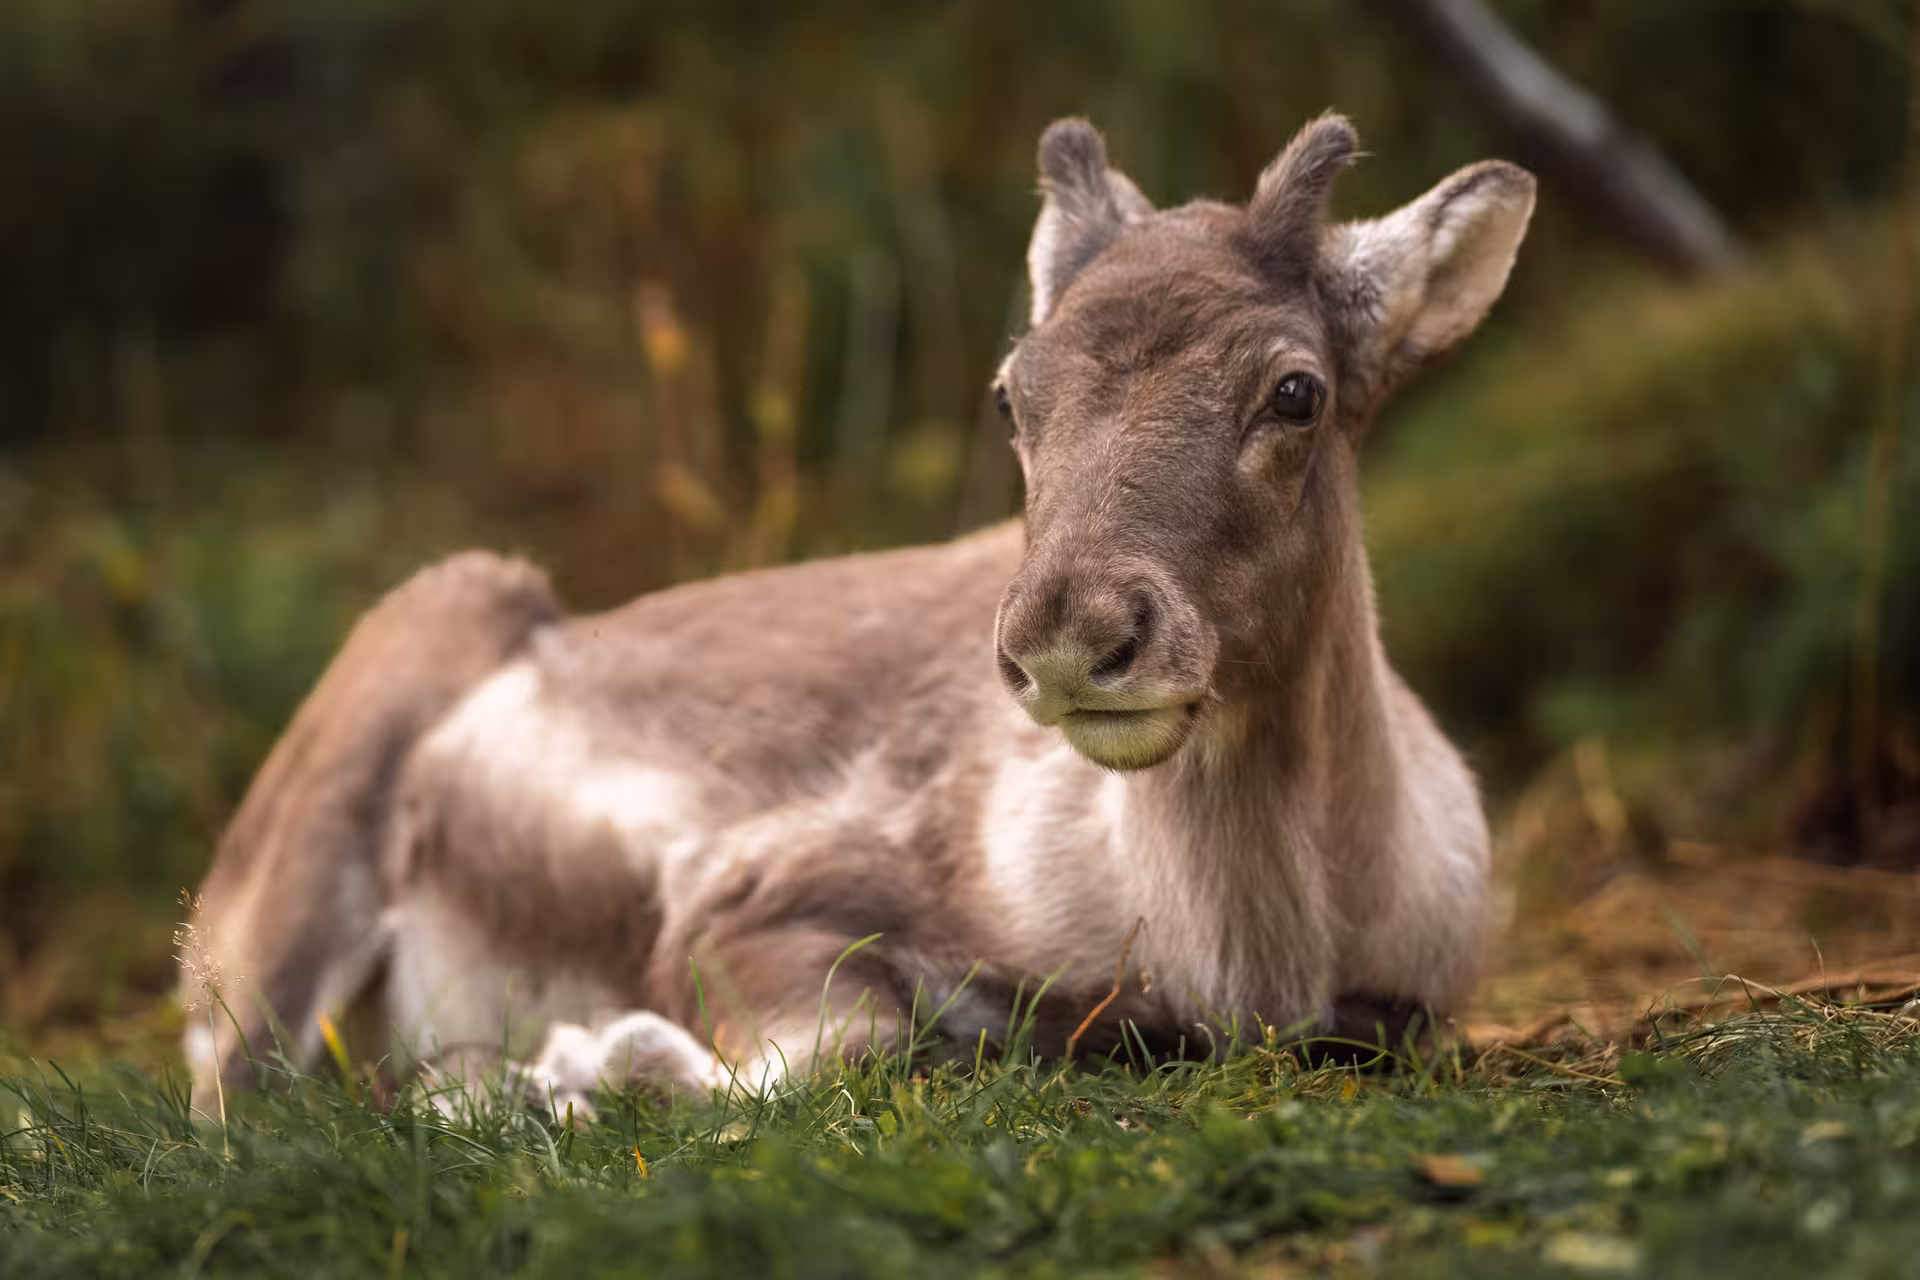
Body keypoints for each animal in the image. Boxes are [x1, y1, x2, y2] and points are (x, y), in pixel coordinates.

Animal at [180, 114, 1534, 1113]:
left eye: (1296, 389)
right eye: (1011, 391)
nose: (1069, 641)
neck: (1249, 960)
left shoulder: (1401, 1004)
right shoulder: (751, 889)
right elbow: (847, 1046)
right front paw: (566, 1067)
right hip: (302, 863)